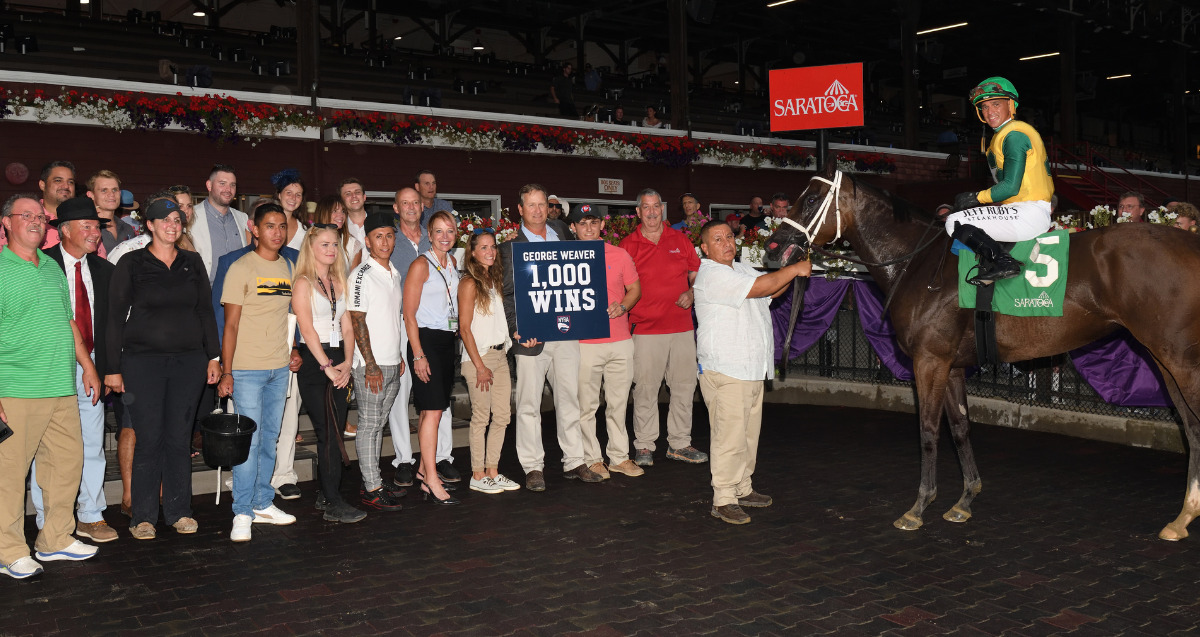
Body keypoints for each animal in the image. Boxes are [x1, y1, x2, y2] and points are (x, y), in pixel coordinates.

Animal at [763, 161, 1200, 539]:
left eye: (811, 199)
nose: (772, 249)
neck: (919, 265)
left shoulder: (929, 361)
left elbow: (927, 430)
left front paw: (918, 507)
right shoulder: (952, 366)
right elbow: (959, 427)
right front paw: (964, 499)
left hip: (1180, 360)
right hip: (1164, 361)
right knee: (1190, 427)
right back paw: (1182, 518)